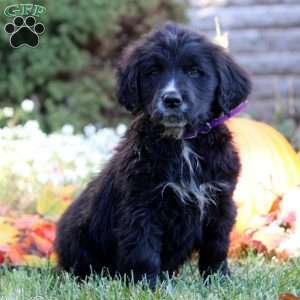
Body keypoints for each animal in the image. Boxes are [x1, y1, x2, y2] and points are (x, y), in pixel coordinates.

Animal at [55, 22, 251, 288]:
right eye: (153, 72)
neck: (182, 144)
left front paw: (217, 279)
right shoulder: (142, 204)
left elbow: (217, 246)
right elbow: (143, 249)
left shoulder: (220, 200)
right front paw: (145, 286)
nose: (171, 99)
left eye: (195, 71)